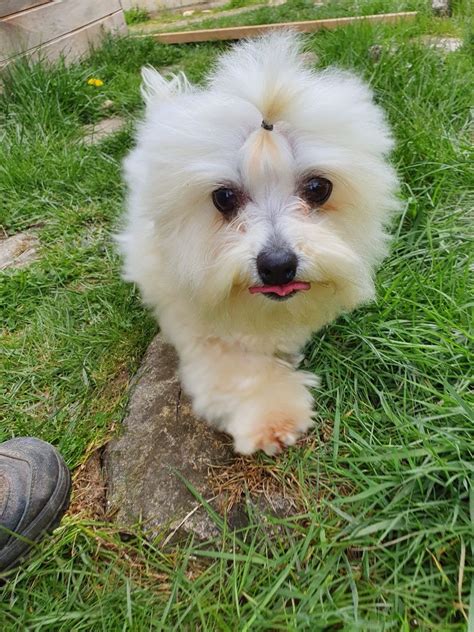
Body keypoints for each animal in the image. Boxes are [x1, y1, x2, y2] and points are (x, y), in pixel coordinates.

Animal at [117, 32, 396, 454]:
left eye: (319, 188)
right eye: (224, 198)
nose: (278, 265)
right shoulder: (195, 314)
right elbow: (237, 365)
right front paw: (271, 415)